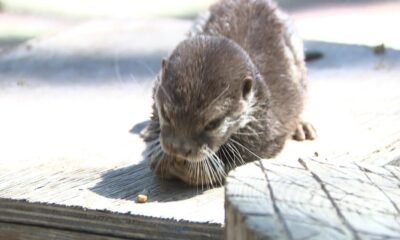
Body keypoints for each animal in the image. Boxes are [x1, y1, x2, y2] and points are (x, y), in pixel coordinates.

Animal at [141, 0, 316, 187]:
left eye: (213, 123)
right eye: (166, 114)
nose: (179, 148)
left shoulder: (268, 128)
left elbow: (252, 151)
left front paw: (199, 172)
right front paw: (159, 155)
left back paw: (302, 125)